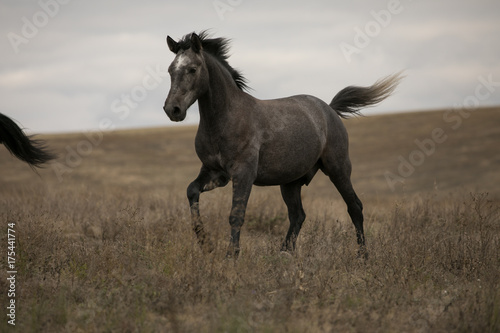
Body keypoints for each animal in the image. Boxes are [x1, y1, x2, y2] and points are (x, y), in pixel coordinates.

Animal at [164, 31, 402, 256]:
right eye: (170, 71)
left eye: (192, 69)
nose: (172, 109)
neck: (226, 118)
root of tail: (330, 110)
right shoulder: (215, 173)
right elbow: (191, 191)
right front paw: (206, 245)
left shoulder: (243, 173)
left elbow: (236, 215)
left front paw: (231, 255)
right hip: (290, 182)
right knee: (298, 215)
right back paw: (284, 254)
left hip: (338, 169)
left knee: (354, 207)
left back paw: (362, 256)